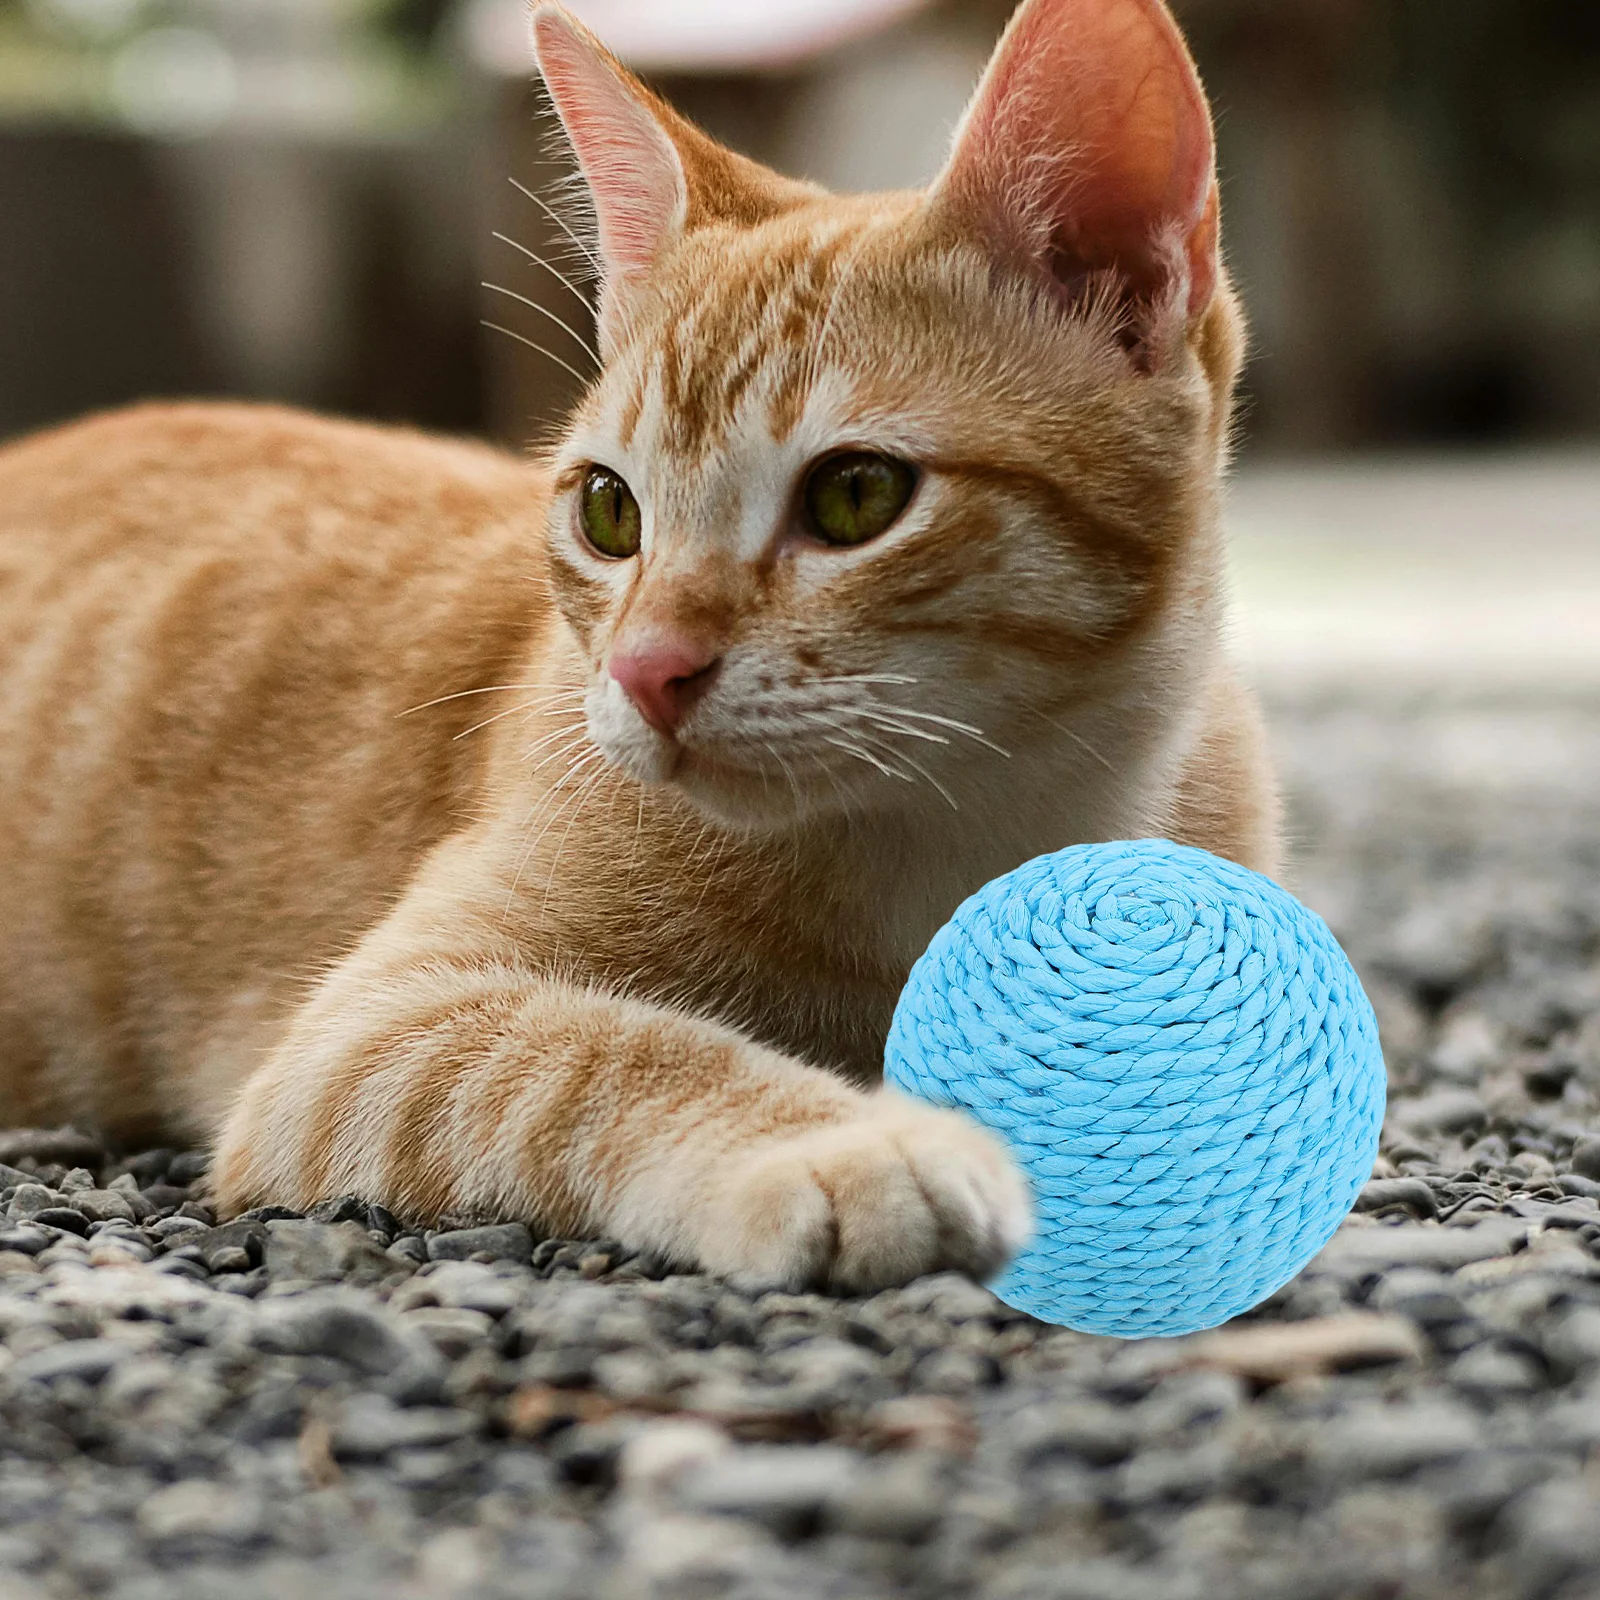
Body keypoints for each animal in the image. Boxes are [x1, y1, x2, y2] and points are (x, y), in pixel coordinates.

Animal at [0, 0, 1280, 1292]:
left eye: (857, 495)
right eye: (610, 511)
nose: (643, 669)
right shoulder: (370, 1029)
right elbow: (600, 1053)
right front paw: (850, 1140)